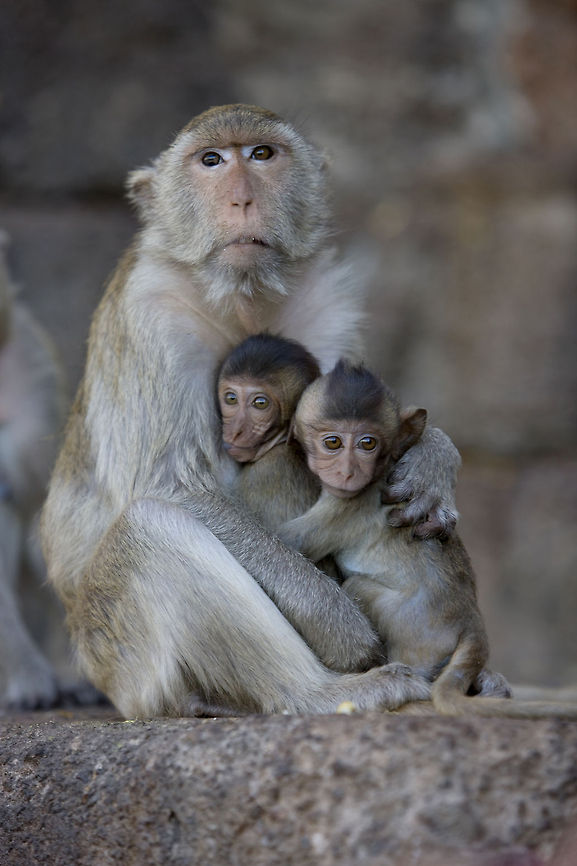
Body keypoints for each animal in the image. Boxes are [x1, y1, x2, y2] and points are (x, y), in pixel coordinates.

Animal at [41, 104, 468, 719]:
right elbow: (170, 487)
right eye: (212, 160)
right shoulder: (151, 317)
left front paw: (433, 457)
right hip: (123, 661)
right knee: (150, 528)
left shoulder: (327, 305)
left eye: (262, 154)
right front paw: (341, 628)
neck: (240, 300)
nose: (242, 199)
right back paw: (320, 694)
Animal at [279, 360, 577, 719]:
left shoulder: (349, 505)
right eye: (333, 442)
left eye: (368, 443)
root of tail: (474, 624)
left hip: (410, 627)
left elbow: (292, 540)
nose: (349, 471)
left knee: (361, 588)